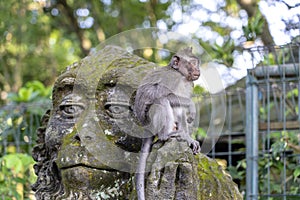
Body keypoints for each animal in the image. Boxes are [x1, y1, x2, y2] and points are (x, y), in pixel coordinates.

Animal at [134, 47, 202, 200]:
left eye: (196, 63)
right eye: (192, 63)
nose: (198, 69)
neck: (181, 76)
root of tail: (146, 128)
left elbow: (180, 106)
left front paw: (189, 138)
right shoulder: (173, 79)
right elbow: (162, 94)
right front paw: (192, 106)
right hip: (151, 121)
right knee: (162, 100)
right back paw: (167, 134)